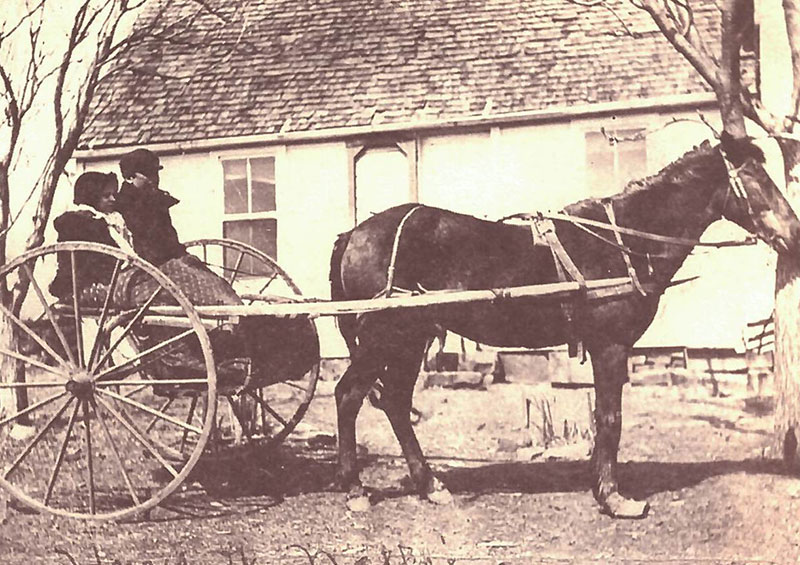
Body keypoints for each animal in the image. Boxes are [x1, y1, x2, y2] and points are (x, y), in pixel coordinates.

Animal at [328, 134, 800, 516]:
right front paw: (613, 497)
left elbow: (602, 417)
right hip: (385, 338)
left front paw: (598, 483)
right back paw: (356, 489)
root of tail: (354, 234)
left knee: (394, 404)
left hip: (411, 339)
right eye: (755, 177)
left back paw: (430, 486)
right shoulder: (610, 346)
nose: (794, 234)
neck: (622, 243)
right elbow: (610, 418)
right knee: (349, 395)